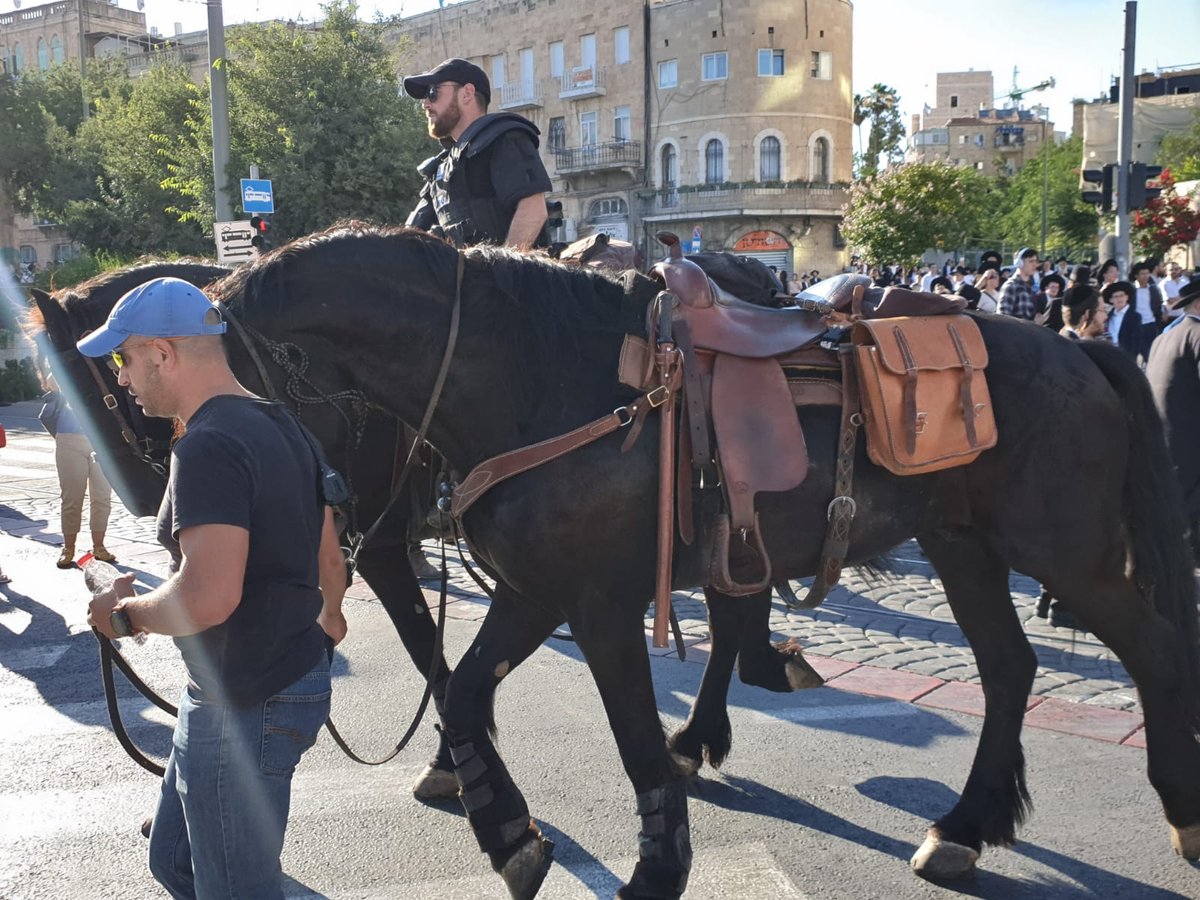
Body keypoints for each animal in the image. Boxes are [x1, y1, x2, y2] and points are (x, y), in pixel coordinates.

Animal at [39, 226, 1200, 900]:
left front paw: (652, 856)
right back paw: (962, 825)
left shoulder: (591, 603)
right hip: (964, 547)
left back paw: (1178, 809)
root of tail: (1078, 345)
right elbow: (461, 688)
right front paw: (503, 823)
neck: (531, 376)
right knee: (1006, 669)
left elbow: (624, 733)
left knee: (1149, 649)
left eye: (124, 395)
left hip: (1065, 553)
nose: (158, 511)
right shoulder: (532, 591)